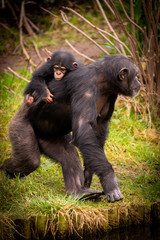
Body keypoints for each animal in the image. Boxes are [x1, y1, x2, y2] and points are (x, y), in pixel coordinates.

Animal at [2, 54, 140, 202]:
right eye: (136, 75)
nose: (139, 83)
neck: (103, 81)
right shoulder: (85, 87)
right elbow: (83, 127)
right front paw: (110, 181)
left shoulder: (111, 95)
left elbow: (98, 130)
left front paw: (89, 174)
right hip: (19, 126)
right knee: (30, 160)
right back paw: (6, 170)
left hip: (50, 138)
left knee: (69, 155)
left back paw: (80, 192)